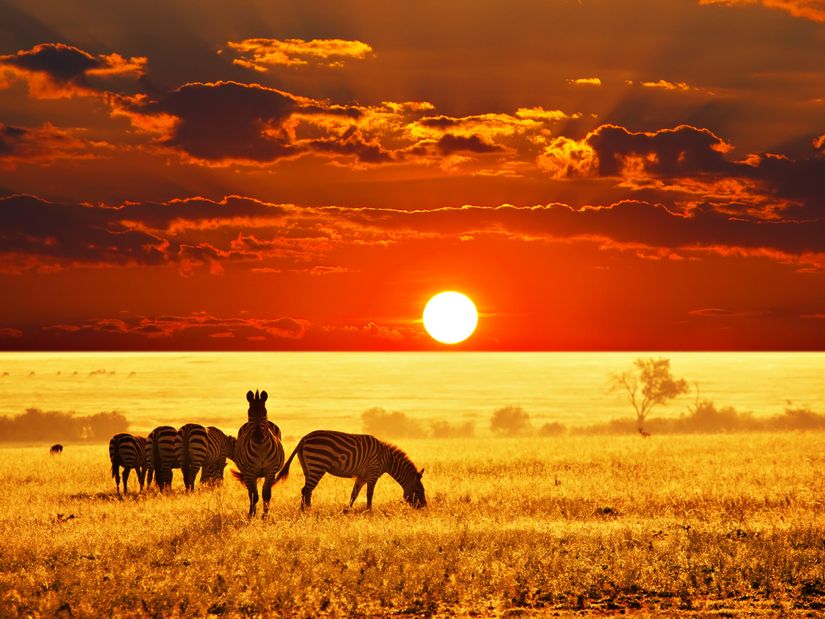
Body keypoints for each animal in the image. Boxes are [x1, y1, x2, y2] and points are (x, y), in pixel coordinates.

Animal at [230, 392, 284, 520]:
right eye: (249, 413)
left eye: (264, 412)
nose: (258, 436)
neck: (261, 448)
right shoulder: (250, 472)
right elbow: (254, 495)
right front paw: (251, 516)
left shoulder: (271, 471)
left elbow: (266, 494)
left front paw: (265, 517)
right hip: (247, 474)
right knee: (250, 493)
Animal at [276, 432, 428, 512]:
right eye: (419, 491)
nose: (425, 508)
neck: (388, 459)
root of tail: (304, 438)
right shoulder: (373, 473)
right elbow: (369, 494)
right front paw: (369, 512)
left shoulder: (362, 476)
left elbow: (354, 494)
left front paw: (346, 510)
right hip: (317, 465)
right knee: (306, 490)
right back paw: (305, 512)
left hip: (308, 468)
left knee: (307, 490)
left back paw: (308, 510)